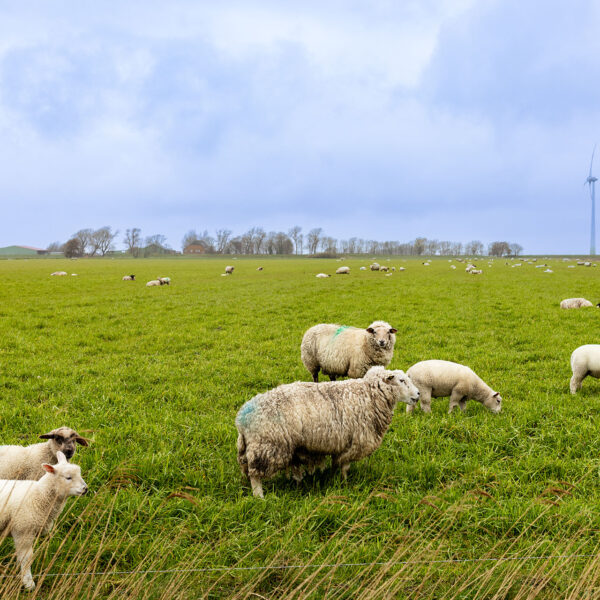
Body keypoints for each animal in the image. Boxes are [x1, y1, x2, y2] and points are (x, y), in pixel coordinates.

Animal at [0, 452, 88, 588]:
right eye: (68, 477)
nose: (85, 489)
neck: (38, 495)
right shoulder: (23, 531)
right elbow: (26, 558)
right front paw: (28, 582)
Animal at [234, 368, 418, 500]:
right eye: (402, 380)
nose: (417, 395)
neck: (369, 395)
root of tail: (241, 419)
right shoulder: (353, 442)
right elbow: (345, 465)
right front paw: (344, 483)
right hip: (267, 445)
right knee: (255, 475)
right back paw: (259, 496)